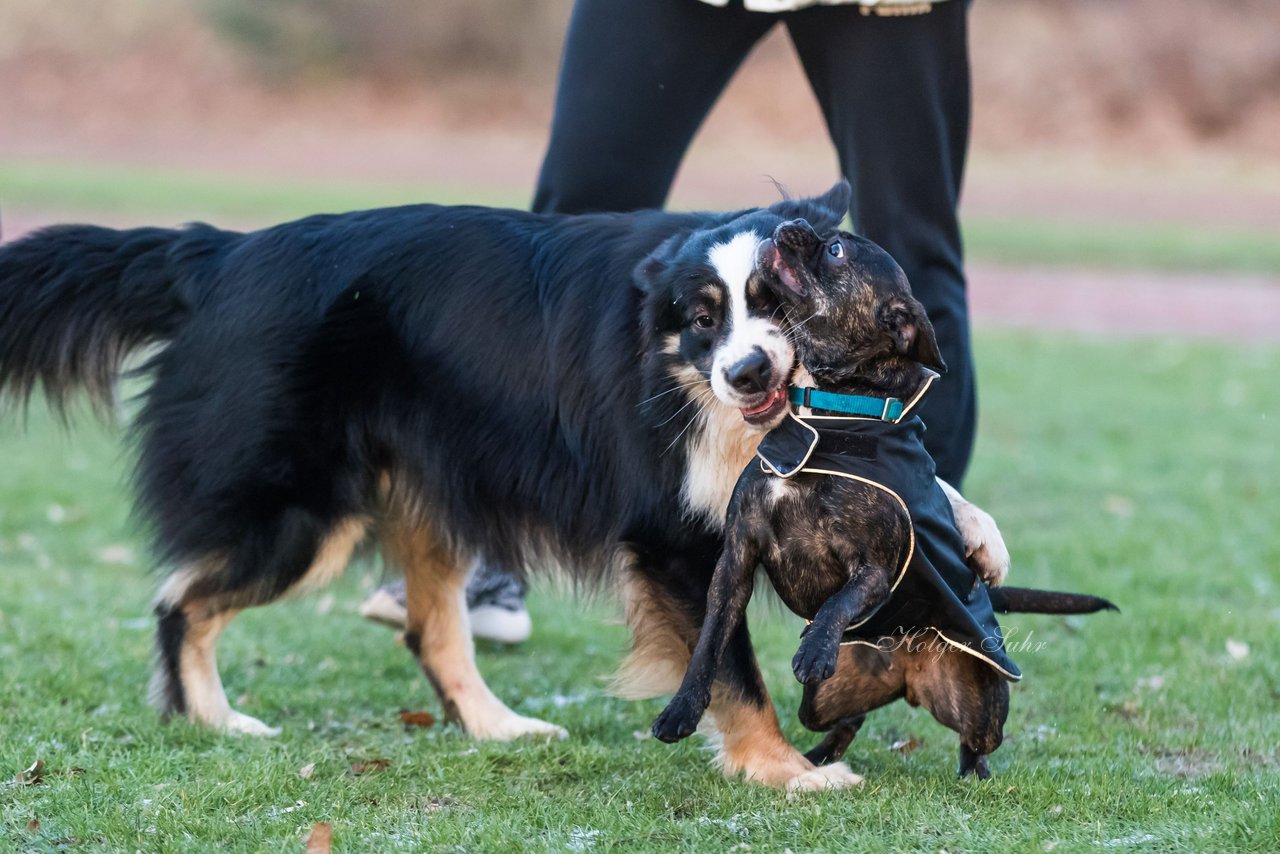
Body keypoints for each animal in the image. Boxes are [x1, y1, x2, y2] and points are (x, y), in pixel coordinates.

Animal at [650, 218, 1111, 783]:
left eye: (836, 249)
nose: (791, 224)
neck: (827, 416)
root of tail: (907, 677)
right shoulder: (736, 560)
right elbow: (709, 643)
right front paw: (680, 710)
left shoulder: (877, 566)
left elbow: (840, 600)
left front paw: (817, 645)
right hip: (821, 700)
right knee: (850, 720)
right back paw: (820, 760)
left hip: (981, 702)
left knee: (977, 739)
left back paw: (973, 774)